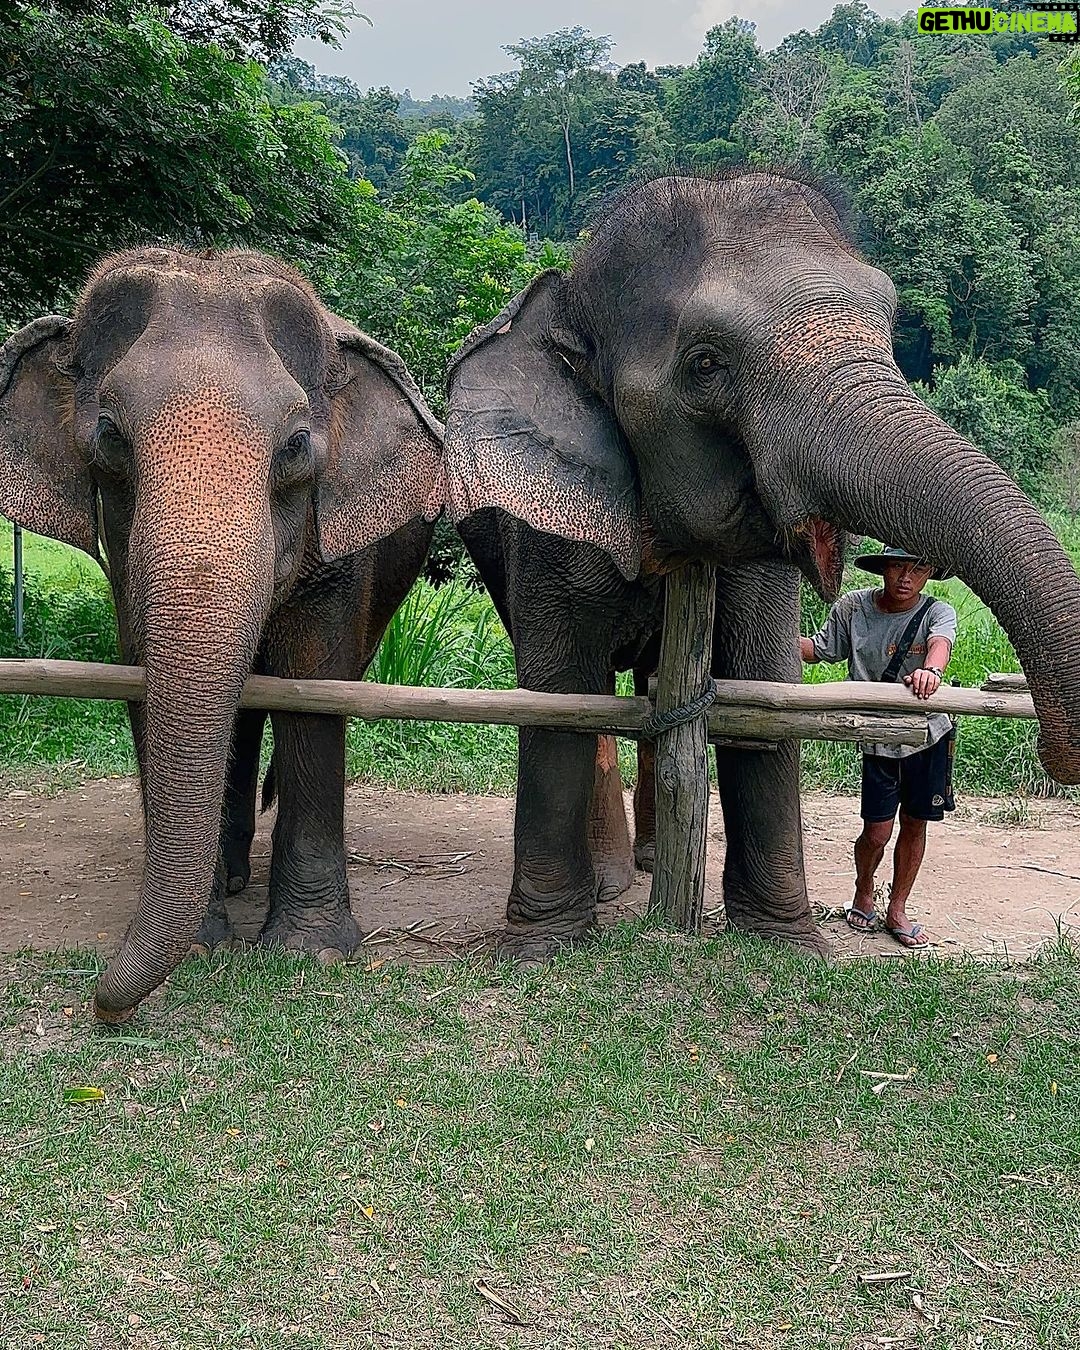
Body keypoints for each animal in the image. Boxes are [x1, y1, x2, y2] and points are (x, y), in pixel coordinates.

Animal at [0, 248, 443, 1022]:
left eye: (296, 445)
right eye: (110, 437)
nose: (104, 1005)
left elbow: (315, 685)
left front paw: (309, 952)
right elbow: (142, 677)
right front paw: (207, 943)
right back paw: (233, 877)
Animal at [444, 169, 1080, 962]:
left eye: (889, 327)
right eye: (705, 364)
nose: (1059, 756)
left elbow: (762, 685)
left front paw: (784, 943)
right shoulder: (543, 526)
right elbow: (558, 696)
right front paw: (544, 950)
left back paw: (650, 863)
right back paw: (615, 883)